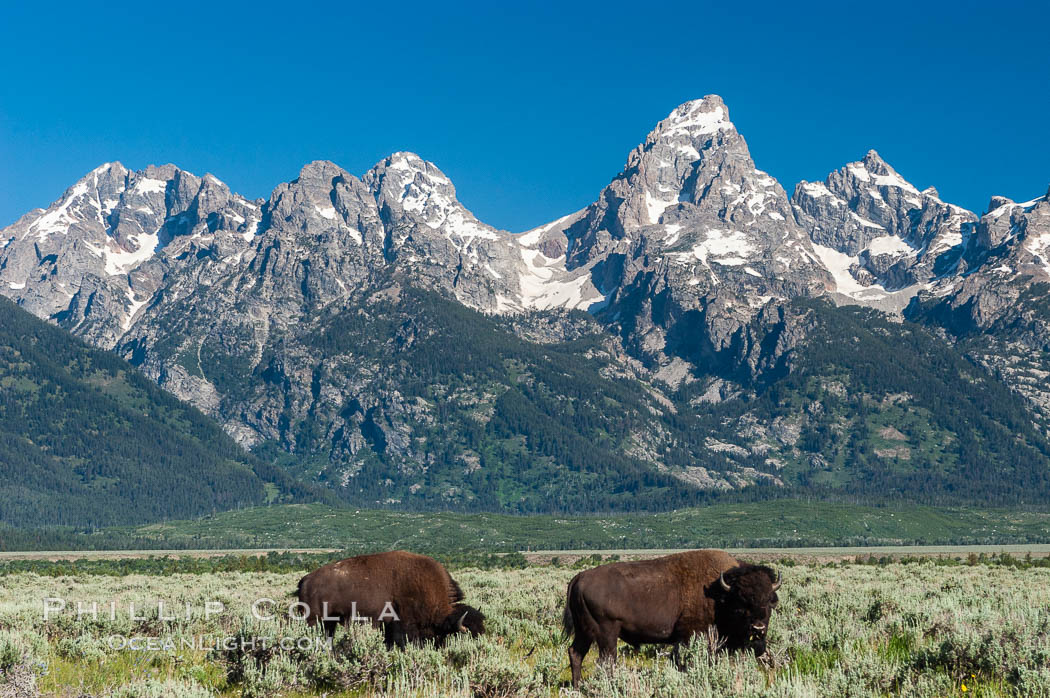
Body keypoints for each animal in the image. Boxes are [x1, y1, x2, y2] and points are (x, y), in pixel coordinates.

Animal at [298, 550, 485, 646]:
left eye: (482, 628)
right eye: (469, 634)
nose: (482, 645)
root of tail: (305, 580)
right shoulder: (403, 626)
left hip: (330, 622)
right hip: (313, 619)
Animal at [567, 545, 781, 684]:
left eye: (769, 601)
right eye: (741, 602)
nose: (758, 628)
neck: (720, 594)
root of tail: (579, 577)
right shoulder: (690, 637)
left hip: (584, 632)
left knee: (576, 653)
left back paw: (578, 686)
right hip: (606, 633)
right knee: (606, 660)